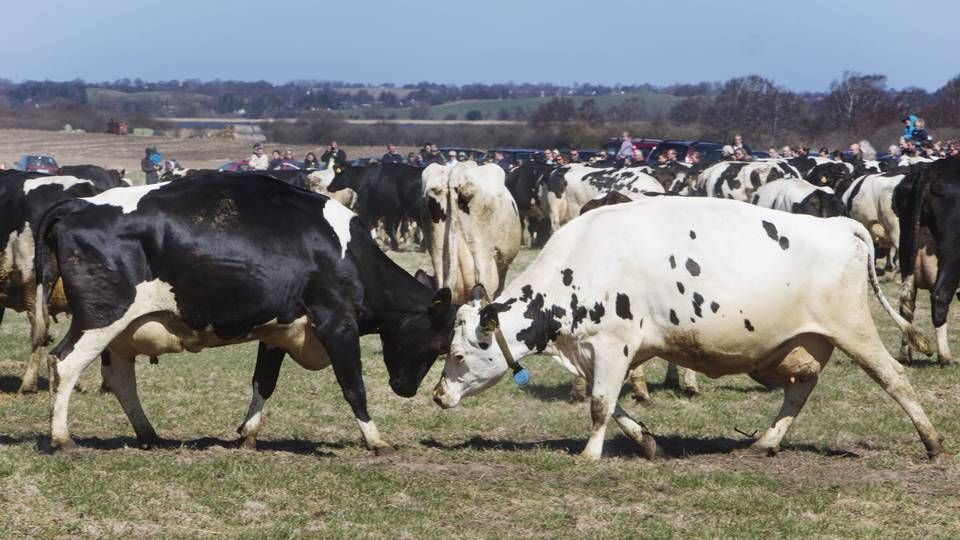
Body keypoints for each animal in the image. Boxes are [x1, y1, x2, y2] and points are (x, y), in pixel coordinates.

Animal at [34, 173, 458, 452]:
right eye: (440, 345)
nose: (406, 389)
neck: (349, 253)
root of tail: (79, 204)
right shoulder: (337, 322)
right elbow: (354, 385)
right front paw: (376, 440)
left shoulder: (277, 330)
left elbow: (263, 383)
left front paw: (248, 433)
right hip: (101, 319)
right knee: (65, 364)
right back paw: (62, 439)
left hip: (121, 331)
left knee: (120, 378)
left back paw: (149, 435)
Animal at [434, 196, 944, 462]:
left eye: (458, 354)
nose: (438, 396)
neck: (583, 264)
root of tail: (840, 225)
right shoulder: (600, 352)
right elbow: (613, 403)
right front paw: (647, 442)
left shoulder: (614, 345)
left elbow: (600, 405)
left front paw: (589, 455)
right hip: (794, 345)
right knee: (800, 388)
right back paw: (766, 441)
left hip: (853, 329)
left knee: (894, 378)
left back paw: (933, 442)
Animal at [892, 157, 960, 368]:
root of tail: (930, 170)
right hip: (951, 252)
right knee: (939, 296)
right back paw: (945, 357)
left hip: (907, 245)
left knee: (907, 300)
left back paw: (905, 355)